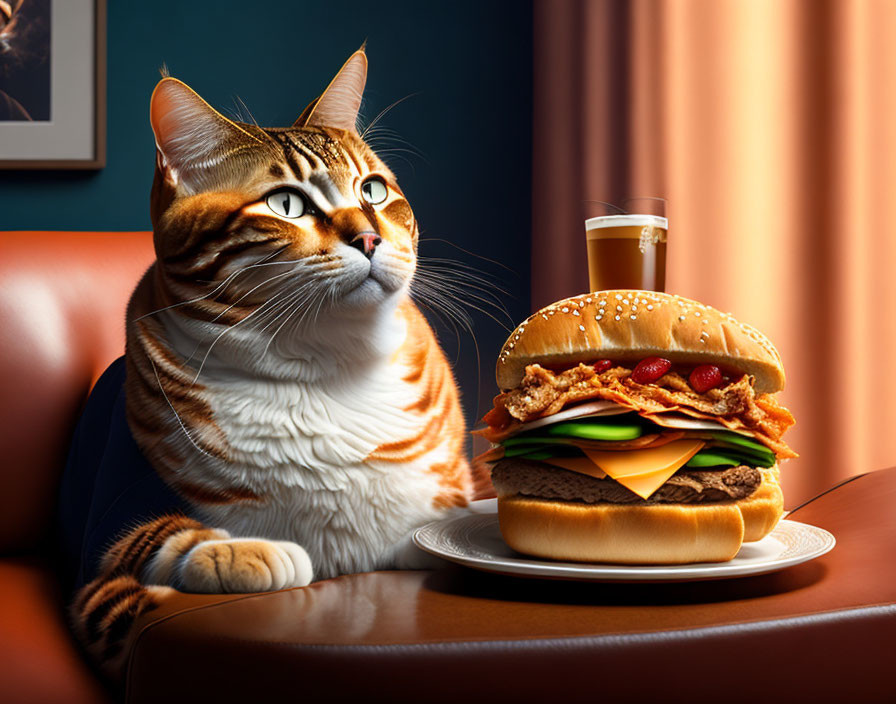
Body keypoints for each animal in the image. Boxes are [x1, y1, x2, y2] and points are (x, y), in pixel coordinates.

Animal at [70, 46, 476, 672]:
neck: (325, 370)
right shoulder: (101, 549)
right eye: (286, 204)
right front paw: (239, 553)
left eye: (373, 190)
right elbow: (148, 538)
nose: (371, 239)